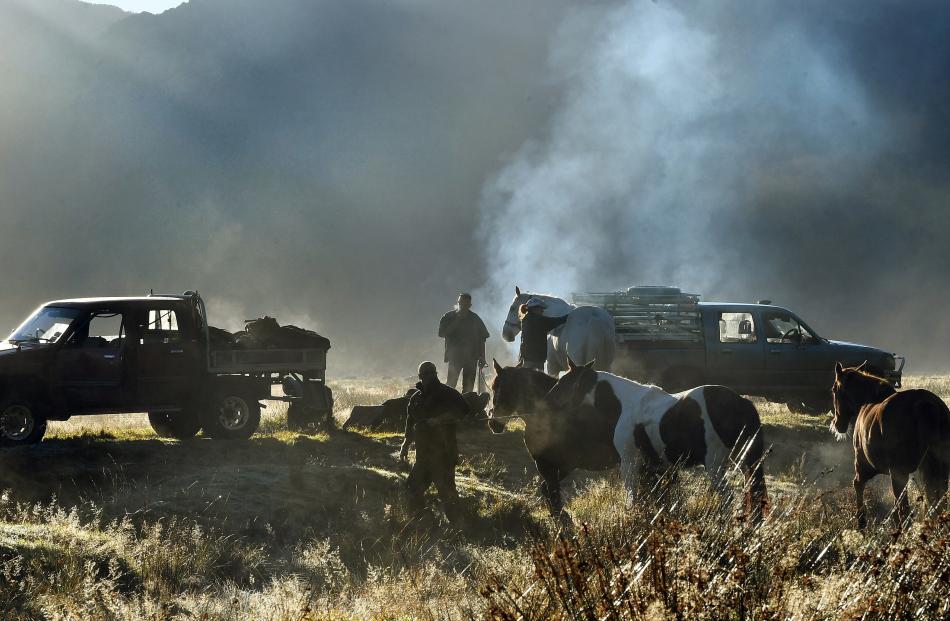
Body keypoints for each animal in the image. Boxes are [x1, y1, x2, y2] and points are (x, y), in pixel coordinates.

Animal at [490, 358, 624, 512]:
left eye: (499, 389)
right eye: (493, 388)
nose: (493, 423)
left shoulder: (553, 464)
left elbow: (553, 495)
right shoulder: (562, 466)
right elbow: (548, 491)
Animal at [548, 356, 768, 516]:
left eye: (565, 381)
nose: (550, 398)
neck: (626, 404)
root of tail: (741, 401)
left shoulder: (629, 461)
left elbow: (632, 496)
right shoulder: (656, 467)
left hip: (715, 465)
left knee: (729, 497)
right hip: (745, 462)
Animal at [832, 358, 950, 528]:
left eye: (834, 390)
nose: (837, 424)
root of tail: (924, 404)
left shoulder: (864, 465)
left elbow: (857, 485)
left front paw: (861, 522)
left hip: (899, 473)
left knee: (905, 510)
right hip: (938, 469)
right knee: (936, 503)